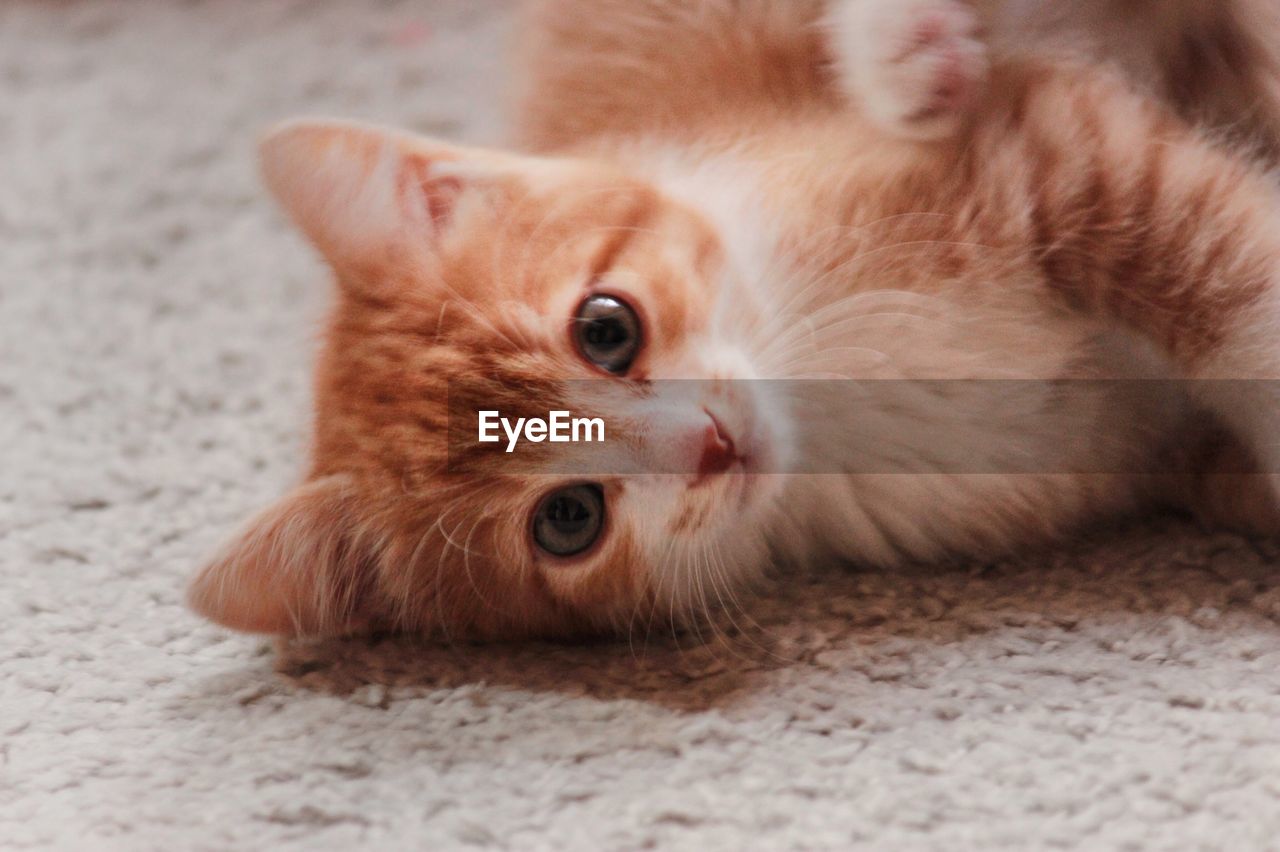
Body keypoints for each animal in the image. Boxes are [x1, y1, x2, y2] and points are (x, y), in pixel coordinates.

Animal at [185, 0, 1280, 637]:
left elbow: (1229, 279)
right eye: (567, 520)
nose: (709, 444)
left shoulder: (1049, 149)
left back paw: (900, 43)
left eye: (606, 327)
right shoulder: (1137, 450)